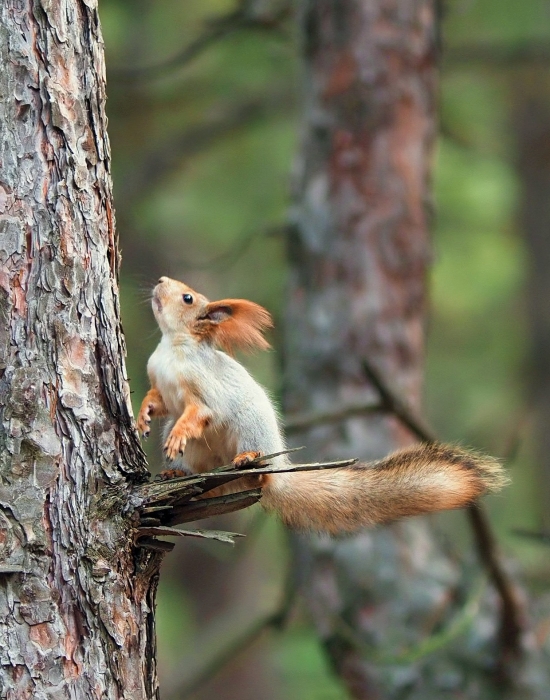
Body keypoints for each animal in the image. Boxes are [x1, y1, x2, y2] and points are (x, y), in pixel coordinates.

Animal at [137, 276, 508, 532]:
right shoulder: (158, 380)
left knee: (257, 477)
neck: (172, 347)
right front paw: (142, 415)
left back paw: (248, 459)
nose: (160, 280)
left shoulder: (205, 390)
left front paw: (179, 432)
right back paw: (176, 472)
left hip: (250, 428)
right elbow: (159, 401)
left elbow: (199, 412)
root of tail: (279, 473)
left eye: (187, 298)